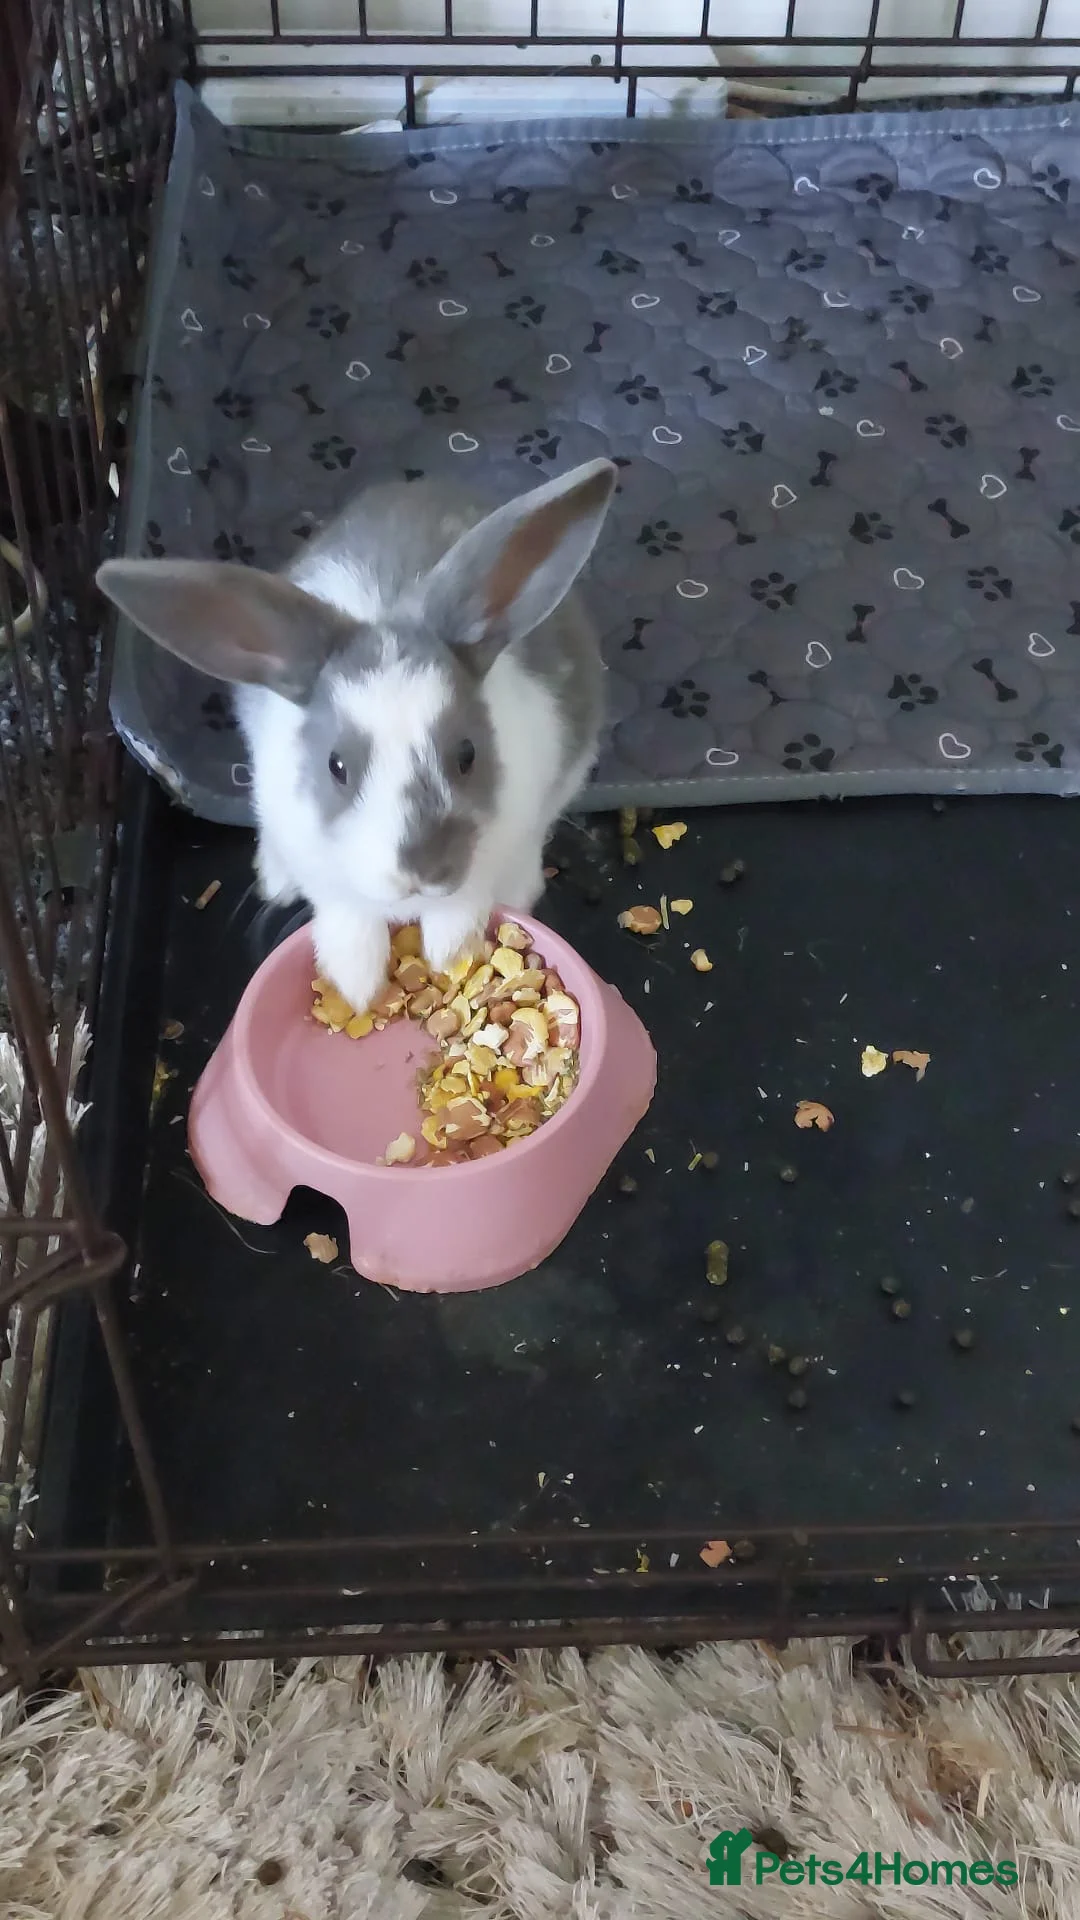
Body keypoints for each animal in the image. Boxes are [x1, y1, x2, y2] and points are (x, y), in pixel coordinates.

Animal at [96, 456, 617, 1015]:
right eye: (336, 767)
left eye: (467, 754)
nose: (422, 870)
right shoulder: (320, 865)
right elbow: (349, 917)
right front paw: (356, 983)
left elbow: (462, 903)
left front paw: (447, 952)